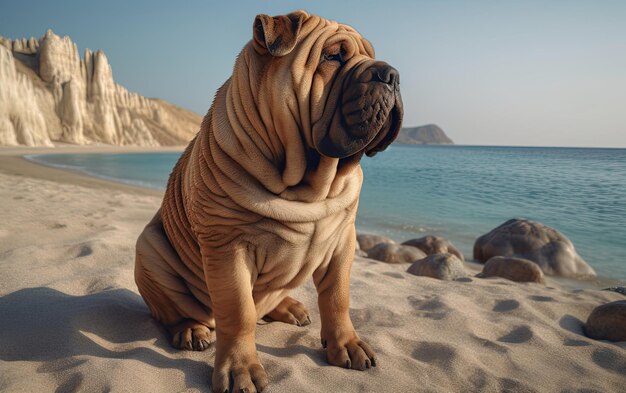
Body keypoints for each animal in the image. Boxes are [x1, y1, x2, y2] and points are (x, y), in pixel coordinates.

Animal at [134, 9, 402, 392]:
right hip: (148, 247)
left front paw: (347, 345)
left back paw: (290, 308)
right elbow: (238, 312)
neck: (312, 182)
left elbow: (337, 297)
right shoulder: (227, 247)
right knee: (176, 311)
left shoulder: (343, 240)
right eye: (333, 57)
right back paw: (190, 329)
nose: (391, 74)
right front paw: (240, 368)